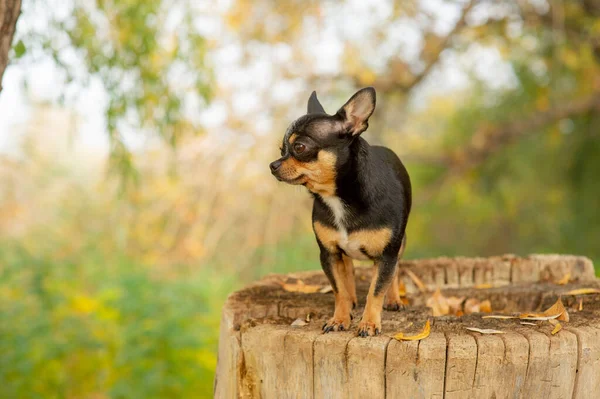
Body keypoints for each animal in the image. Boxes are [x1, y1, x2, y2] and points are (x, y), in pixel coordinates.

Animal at [270, 88, 410, 338]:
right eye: (281, 150)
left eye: (299, 148)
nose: (273, 165)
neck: (337, 197)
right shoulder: (329, 255)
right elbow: (339, 290)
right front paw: (339, 319)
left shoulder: (386, 255)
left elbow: (376, 290)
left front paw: (369, 323)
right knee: (349, 270)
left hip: (400, 244)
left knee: (394, 272)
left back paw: (394, 300)